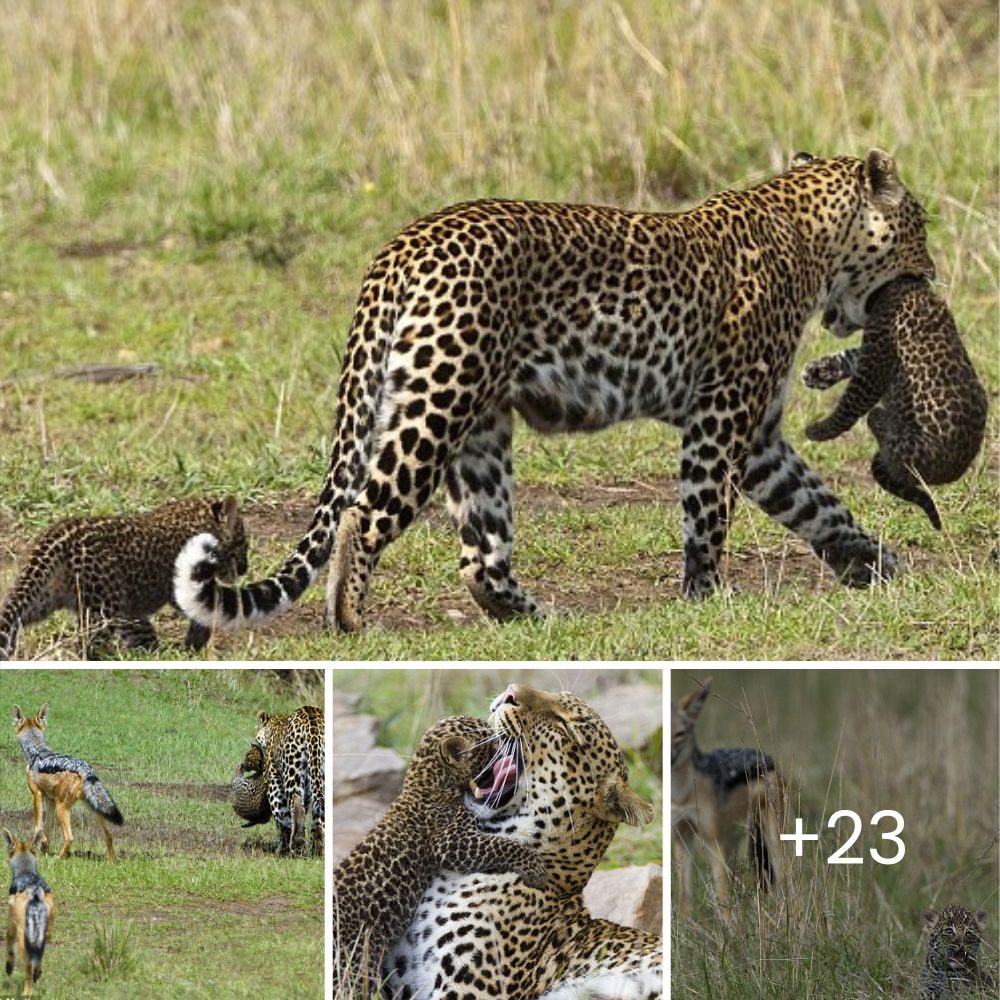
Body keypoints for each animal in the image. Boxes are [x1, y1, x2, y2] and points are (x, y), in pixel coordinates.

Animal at [176, 148, 932, 632]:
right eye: (919, 224)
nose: (931, 272)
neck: (812, 243)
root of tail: (403, 244)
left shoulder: (763, 436)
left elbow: (821, 506)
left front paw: (879, 566)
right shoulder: (720, 421)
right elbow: (707, 517)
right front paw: (706, 601)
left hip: (479, 427)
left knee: (480, 557)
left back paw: (538, 620)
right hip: (436, 404)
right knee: (364, 515)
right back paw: (351, 618)